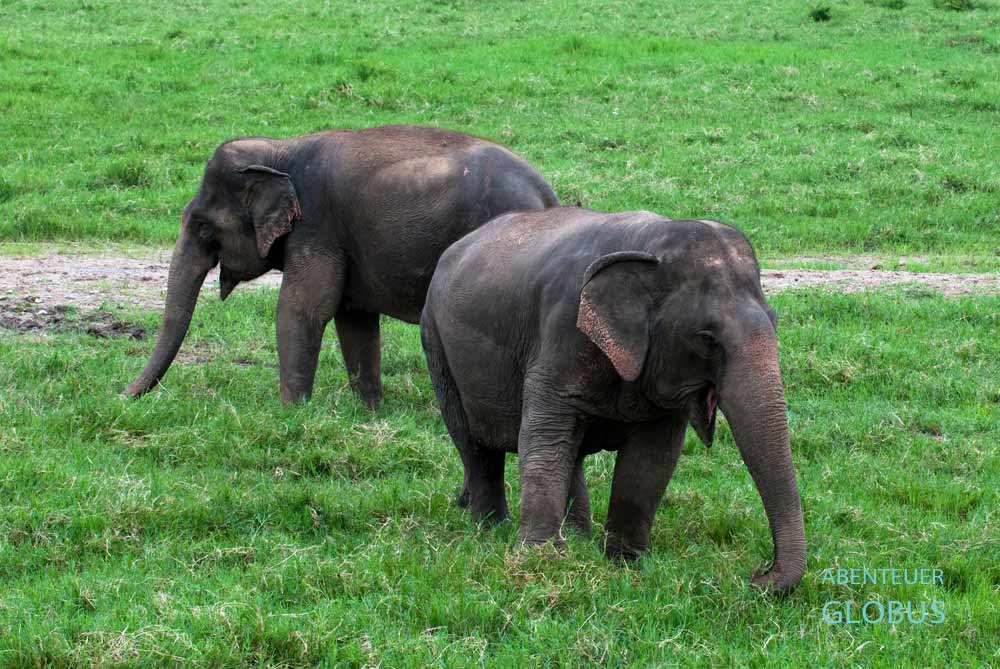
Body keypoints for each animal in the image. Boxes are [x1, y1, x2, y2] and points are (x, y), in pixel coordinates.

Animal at [123, 125, 558, 408]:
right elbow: (354, 318)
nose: (122, 397)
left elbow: (303, 308)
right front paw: (369, 411)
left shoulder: (317, 227)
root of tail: (547, 197)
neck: (280, 151)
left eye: (202, 226)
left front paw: (290, 413)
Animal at [420, 207, 806, 594]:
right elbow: (544, 438)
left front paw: (626, 562)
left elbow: (651, 460)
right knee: (474, 445)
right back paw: (492, 529)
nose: (759, 574)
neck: (649, 242)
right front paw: (539, 559)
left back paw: (578, 536)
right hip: (436, 344)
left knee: (570, 453)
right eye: (707, 338)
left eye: (774, 321)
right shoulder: (561, 336)